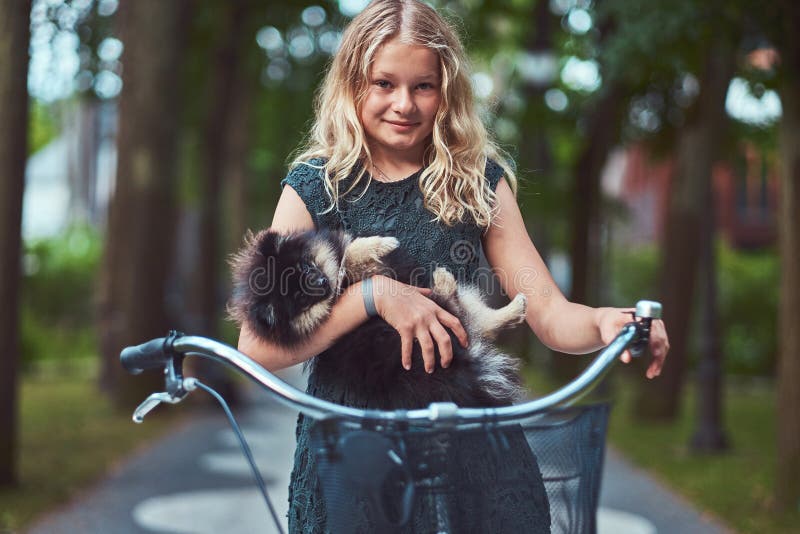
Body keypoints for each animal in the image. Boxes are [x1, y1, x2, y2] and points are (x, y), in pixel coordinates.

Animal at [230, 229, 532, 410]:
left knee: (478, 321)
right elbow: (351, 259)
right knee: (456, 308)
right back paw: (445, 283)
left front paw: (378, 244)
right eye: (300, 297)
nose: (320, 282)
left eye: (305, 266)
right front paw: (378, 246)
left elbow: (348, 250)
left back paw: (514, 308)